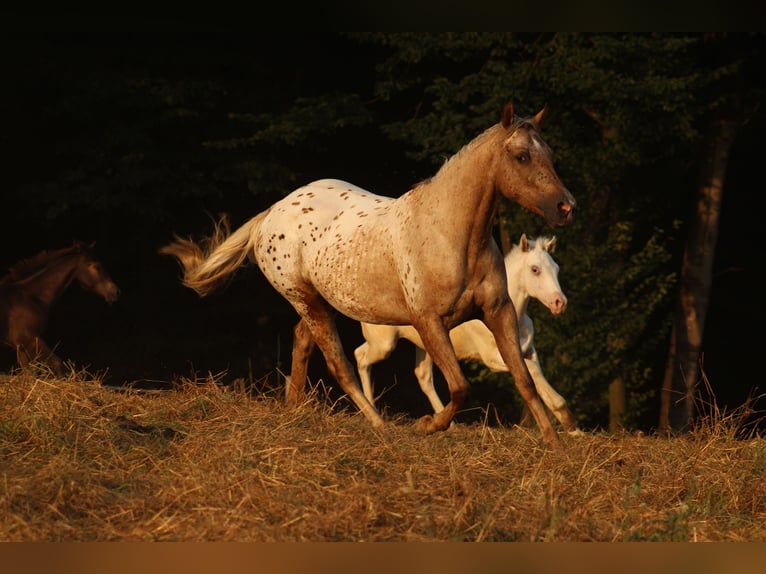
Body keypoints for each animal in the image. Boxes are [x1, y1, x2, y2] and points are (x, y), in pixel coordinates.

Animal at [354, 234, 584, 436]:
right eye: (535, 269)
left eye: (556, 268)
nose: (559, 303)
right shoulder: (492, 359)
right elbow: (533, 372)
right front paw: (568, 421)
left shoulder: (528, 350)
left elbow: (536, 375)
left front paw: (573, 429)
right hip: (384, 344)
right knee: (361, 356)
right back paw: (373, 413)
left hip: (425, 344)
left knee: (423, 375)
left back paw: (448, 424)